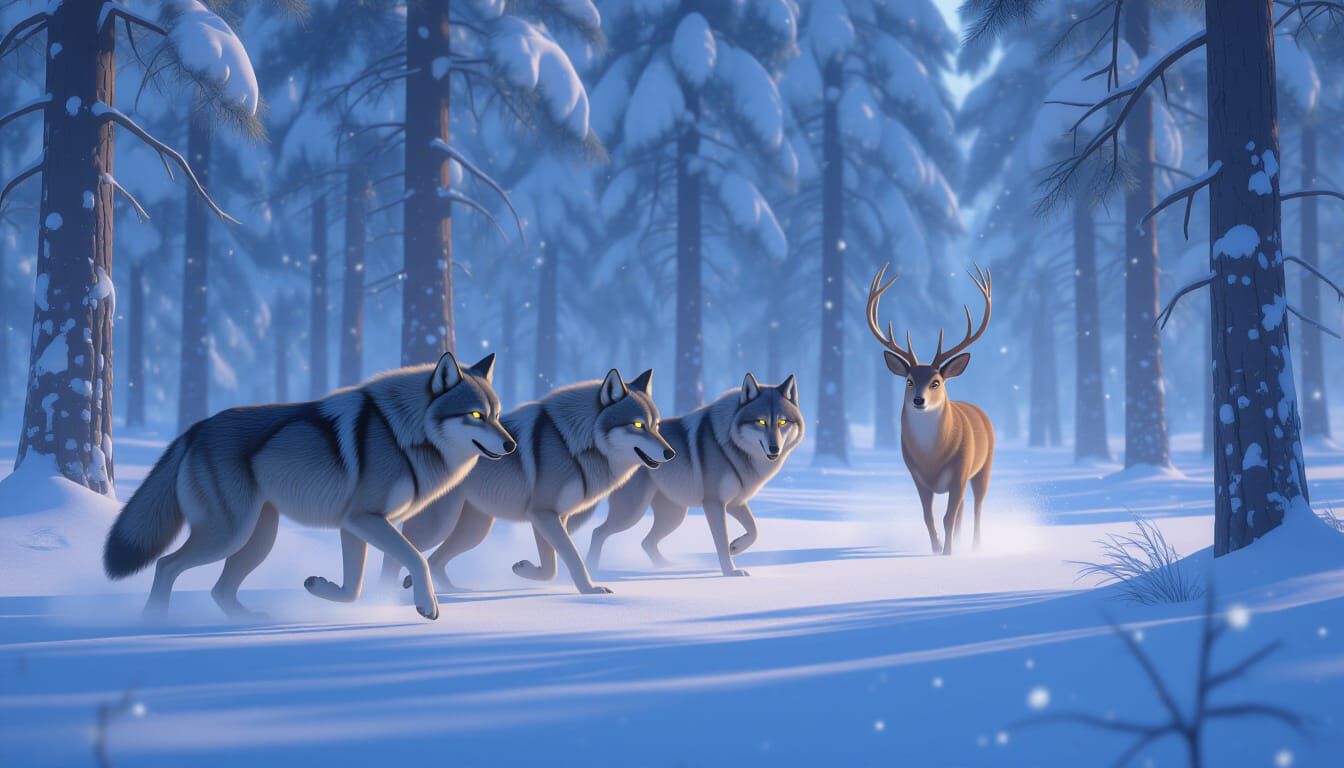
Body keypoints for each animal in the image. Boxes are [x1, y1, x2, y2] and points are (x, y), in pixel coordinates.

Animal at [102, 352, 513, 621]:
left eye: (495, 415)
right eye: (475, 415)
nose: (511, 445)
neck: (405, 436)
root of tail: (193, 429)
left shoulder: (355, 526)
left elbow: (354, 589)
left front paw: (321, 588)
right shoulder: (365, 519)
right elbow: (416, 558)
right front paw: (427, 606)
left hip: (258, 539)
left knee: (219, 590)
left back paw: (248, 620)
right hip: (228, 536)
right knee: (166, 566)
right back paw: (154, 621)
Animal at [388, 368, 674, 595]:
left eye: (657, 426)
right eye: (638, 425)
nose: (671, 453)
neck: (574, 445)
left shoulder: (552, 517)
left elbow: (551, 566)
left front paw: (524, 569)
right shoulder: (543, 514)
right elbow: (571, 557)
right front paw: (590, 590)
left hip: (474, 531)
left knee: (435, 560)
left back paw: (451, 591)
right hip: (440, 526)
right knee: (401, 552)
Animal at [584, 373, 802, 577]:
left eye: (782, 422)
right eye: (761, 421)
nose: (775, 448)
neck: (731, 447)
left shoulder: (736, 502)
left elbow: (755, 530)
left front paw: (735, 547)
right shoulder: (714, 503)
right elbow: (721, 541)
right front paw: (730, 572)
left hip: (674, 516)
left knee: (646, 542)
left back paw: (667, 566)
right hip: (633, 514)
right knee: (597, 532)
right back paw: (592, 568)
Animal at [865, 263, 995, 555]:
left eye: (936, 382)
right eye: (909, 380)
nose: (919, 401)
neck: (933, 456)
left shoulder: (960, 470)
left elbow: (948, 516)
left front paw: (947, 553)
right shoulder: (917, 476)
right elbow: (929, 516)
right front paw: (936, 550)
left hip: (984, 466)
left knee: (977, 506)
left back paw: (975, 546)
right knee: (962, 510)